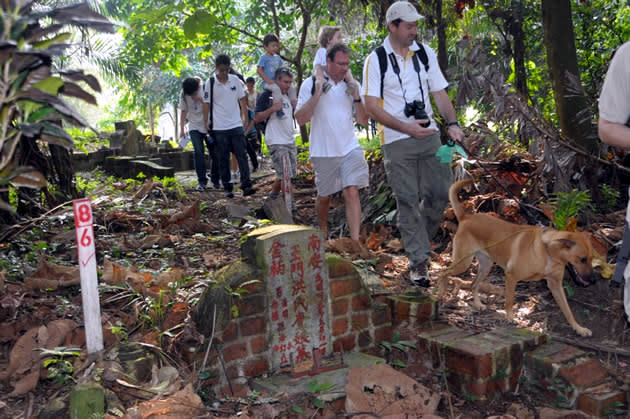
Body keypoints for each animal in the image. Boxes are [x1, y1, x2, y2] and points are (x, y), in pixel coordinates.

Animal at [440, 179, 596, 336]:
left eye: (591, 258)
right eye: (582, 259)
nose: (593, 281)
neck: (547, 252)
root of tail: (466, 217)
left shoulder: (555, 285)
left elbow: (568, 311)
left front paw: (578, 328)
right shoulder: (511, 276)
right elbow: (510, 300)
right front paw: (509, 317)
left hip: (486, 265)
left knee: (473, 284)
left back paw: (477, 304)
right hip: (463, 263)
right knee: (443, 272)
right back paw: (440, 294)